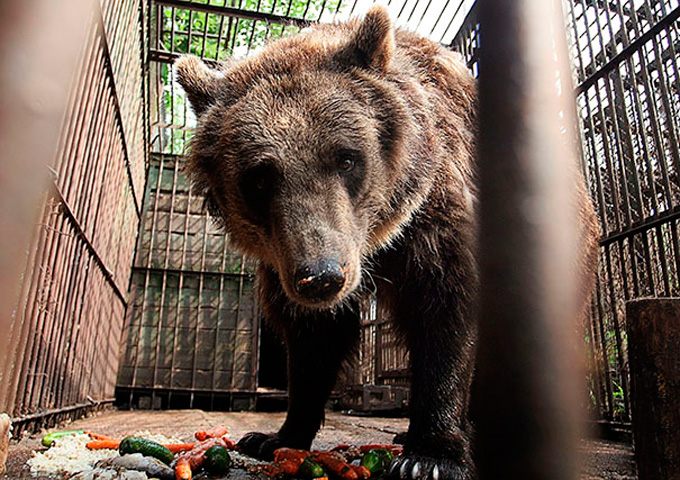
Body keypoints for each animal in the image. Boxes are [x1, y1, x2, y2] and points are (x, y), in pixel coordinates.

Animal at [177, 4, 600, 480]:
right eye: (260, 178)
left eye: (346, 158)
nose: (321, 276)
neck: (380, 237)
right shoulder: (287, 255)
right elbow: (313, 338)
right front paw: (276, 436)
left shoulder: (441, 213)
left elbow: (448, 310)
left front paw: (430, 455)